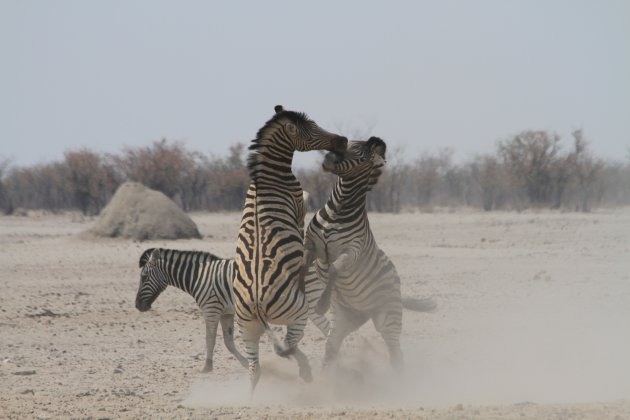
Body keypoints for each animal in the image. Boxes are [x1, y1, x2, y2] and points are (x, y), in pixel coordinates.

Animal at [133, 248, 330, 372]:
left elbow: (210, 339)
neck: (199, 276)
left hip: (310, 304)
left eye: (144, 276)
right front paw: (244, 363)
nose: (137, 306)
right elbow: (228, 342)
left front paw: (207, 366)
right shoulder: (226, 313)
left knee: (328, 328)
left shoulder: (211, 309)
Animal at [235, 103, 348, 392]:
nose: (343, 140)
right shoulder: (298, 205)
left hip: (247, 328)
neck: (266, 178)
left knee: (256, 368)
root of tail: (258, 304)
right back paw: (307, 372)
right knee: (286, 346)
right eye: (312, 131)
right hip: (297, 315)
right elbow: (307, 200)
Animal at [300, 136, 436, 372]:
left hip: (388, 318)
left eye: (361, 156)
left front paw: (322, 303)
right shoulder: (311, 245)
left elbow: (334, 269)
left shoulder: (351, 251)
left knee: (396, 353)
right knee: (331, 348)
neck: (337, 210)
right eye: (343, 144)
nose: (328, 159)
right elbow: (303, 265)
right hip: (344, 321)